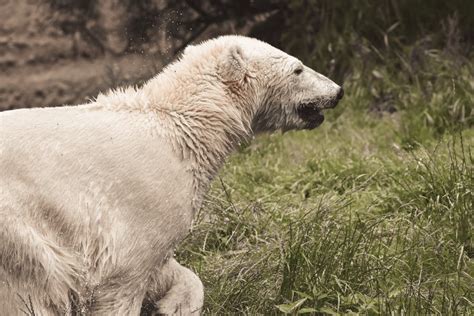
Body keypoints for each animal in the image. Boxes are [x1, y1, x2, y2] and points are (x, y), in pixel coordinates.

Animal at [0, 35, 340, 314]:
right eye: (298, 69)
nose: (338, 91)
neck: (182, 125)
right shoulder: (144, 201)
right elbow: (123, 277)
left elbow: (166, 270)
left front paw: (174, 305)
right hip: (19, 227)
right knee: (40, 283)